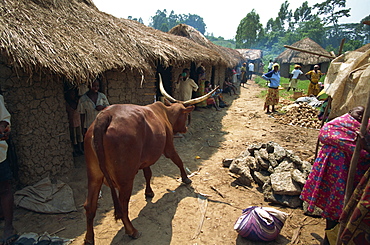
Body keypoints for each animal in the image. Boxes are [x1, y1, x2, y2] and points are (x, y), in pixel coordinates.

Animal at [83, 74, 217, 243]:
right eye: (186, 114)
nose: (186, 128)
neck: (164, 114)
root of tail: (105, 116)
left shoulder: (145, 158)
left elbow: (148, 174)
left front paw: (149, 192)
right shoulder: (168, 147)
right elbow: (179, 161)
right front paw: (186, 179)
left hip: (94, 176)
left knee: (90, 206)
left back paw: (89, 238)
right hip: (125, 178)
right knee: (123, 205)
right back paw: (132, 231)